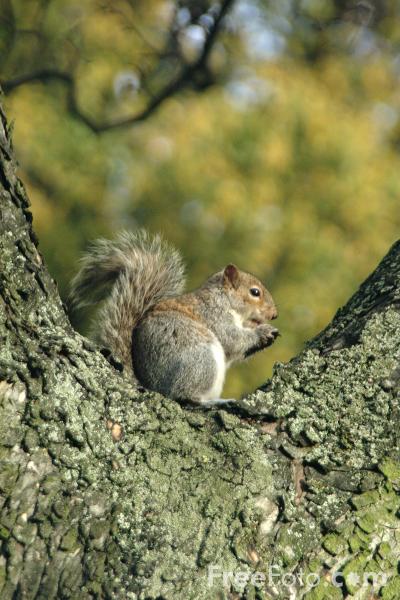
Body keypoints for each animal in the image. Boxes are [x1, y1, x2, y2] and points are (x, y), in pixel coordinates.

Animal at [69, 232, 278, 406]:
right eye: (255, 292)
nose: (274, 314)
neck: (224, 300)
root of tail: (153, 386)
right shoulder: (213, 316)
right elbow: (232, 339)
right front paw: (263, 331)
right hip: (201, 360)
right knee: (185, 396)